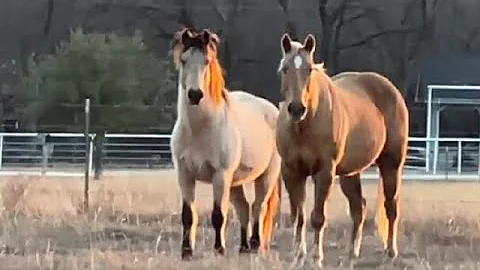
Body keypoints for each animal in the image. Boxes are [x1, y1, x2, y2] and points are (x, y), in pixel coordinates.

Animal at [169, 28, 282, 260]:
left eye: (207, 61)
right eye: (184, 60)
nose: (195, 94)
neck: (199, 129)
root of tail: (272, 109)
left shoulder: (220, 176)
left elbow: (218, 215)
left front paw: (219, 249)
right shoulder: (184, 175)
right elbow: (188, 215)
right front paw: (187, 252)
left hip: (266, 177)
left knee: (258, 207)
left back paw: (255, 245)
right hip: (235, 182)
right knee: (244, 209)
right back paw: (244, 247)